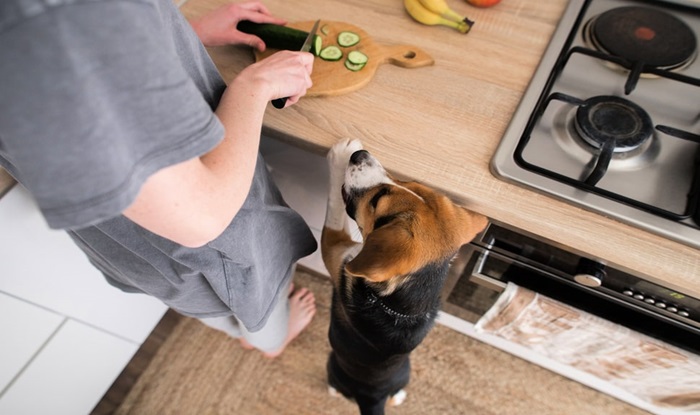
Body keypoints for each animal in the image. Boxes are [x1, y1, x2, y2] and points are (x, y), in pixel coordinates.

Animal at [322, 140, 486, 415]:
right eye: (408, 182)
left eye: (377, 200)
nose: (360, 155)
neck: (402, 308)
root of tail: (373, 397)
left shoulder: (334, 250)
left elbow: (334, 204)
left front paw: (340, 155)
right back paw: (397, 397)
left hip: (332, 364)